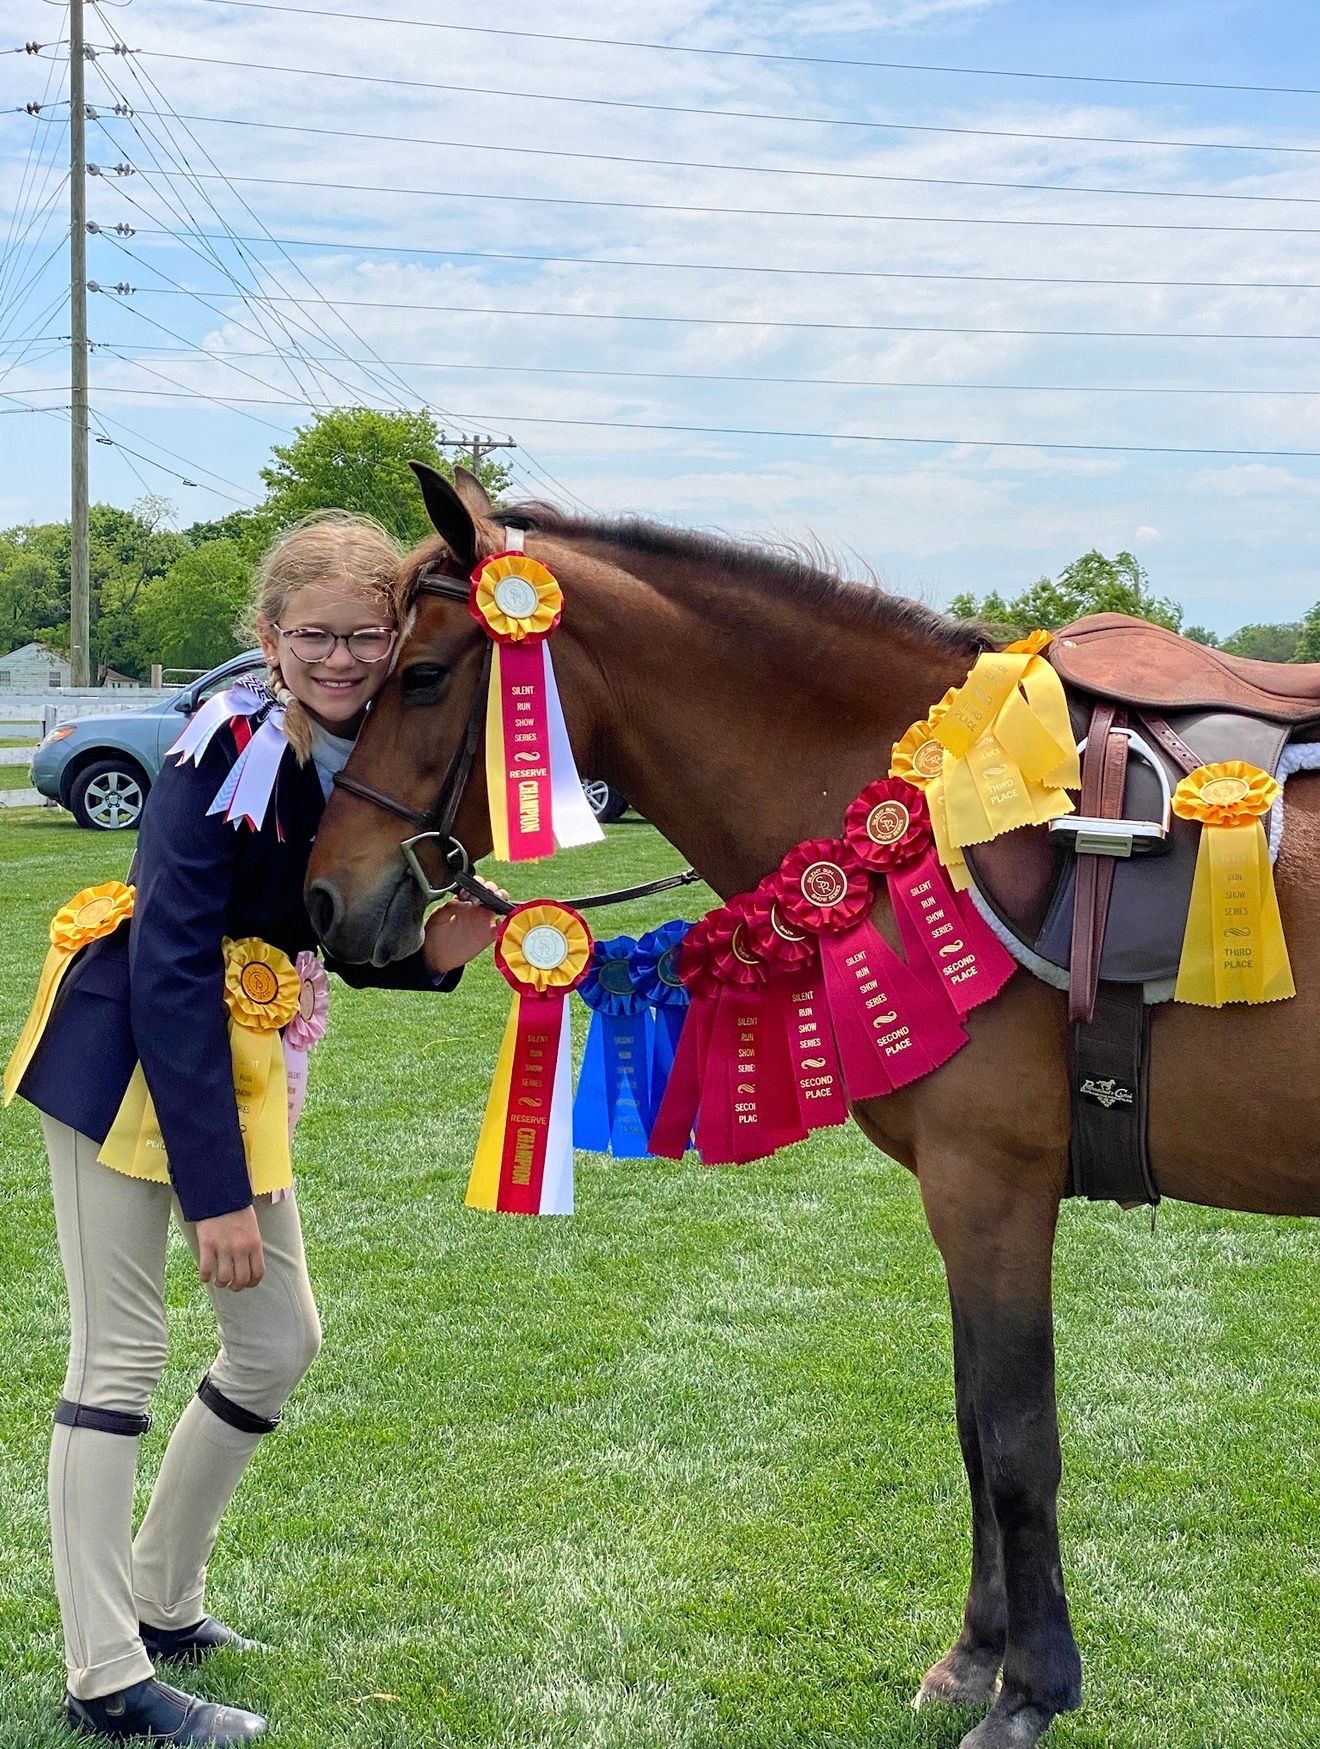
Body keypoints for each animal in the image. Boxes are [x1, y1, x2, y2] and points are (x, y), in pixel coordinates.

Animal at [306, 467, 1320, 1749]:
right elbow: (973, 1427)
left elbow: (1019, 1442)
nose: (326, 899)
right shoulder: (966, 1204)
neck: (933, 818)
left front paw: (1031, 1691)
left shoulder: (994, 1188)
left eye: (426, 676)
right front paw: (973, 1658)